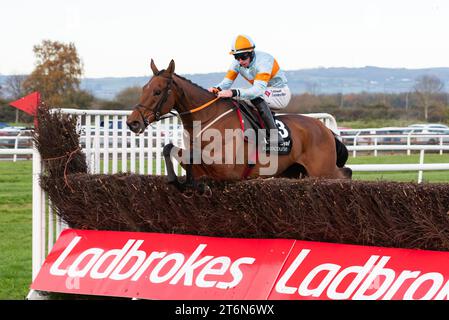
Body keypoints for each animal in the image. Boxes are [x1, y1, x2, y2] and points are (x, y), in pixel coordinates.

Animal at [126, 59, 350, 190]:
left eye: (157, 92)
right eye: (144, 89)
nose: (132, 122)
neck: (208, 120)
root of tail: (325, 129)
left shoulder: (227, 169)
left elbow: (189, 154)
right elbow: (170, 149)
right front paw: (177, 180)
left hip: (323, 170)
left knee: (344, 174)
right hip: (295, 172)